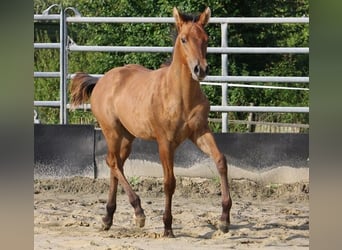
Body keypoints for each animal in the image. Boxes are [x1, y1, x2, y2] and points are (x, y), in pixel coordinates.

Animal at [69, 6, 232, 238]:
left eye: (206, 38)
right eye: (183, 39)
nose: (200, 69)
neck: (180, 95)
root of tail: (101, 80)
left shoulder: (200, 131)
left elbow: (220, 161)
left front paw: (224, 220)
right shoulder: (165, 141)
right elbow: (169, 182)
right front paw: (167, 227)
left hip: (128, 137)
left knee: (115, 165)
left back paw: (108, 218)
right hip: (112, 131)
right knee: (113, 162)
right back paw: (138, 212)